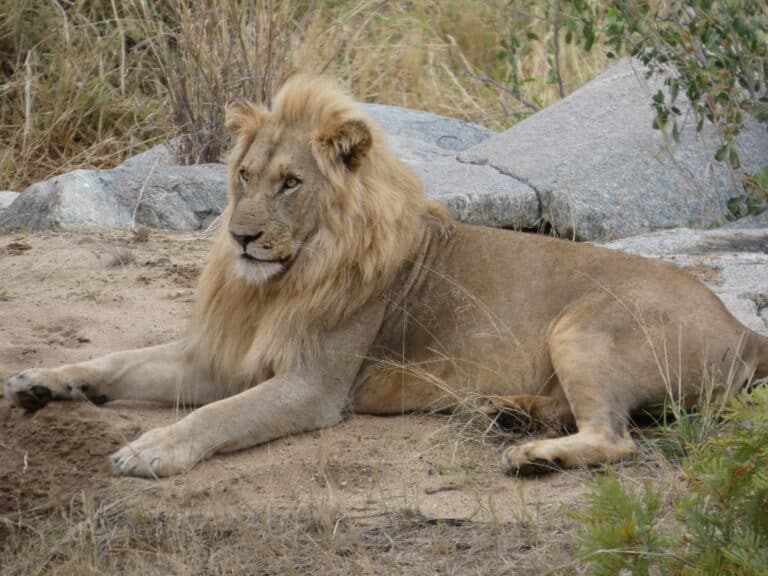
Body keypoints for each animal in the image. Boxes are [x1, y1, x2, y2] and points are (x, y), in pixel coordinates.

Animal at [5, 75, 768, 478]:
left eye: (290, 184)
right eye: (244, 176)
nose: (241, 236)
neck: (281, 280)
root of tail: (741, 326)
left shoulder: (313, 387)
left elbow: (219, 415)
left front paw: (151, 448)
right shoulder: (221, 356)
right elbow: (120, 360)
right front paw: (42, 381)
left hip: (582, 326)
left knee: (615, 437)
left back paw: (529, 453)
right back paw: (507, 413)